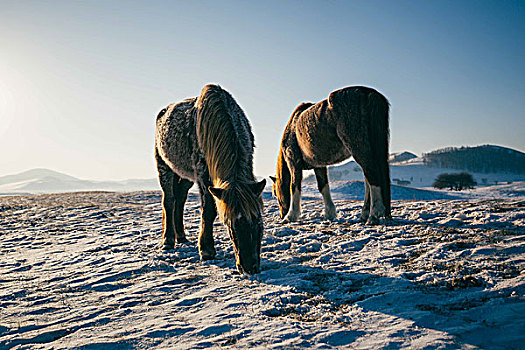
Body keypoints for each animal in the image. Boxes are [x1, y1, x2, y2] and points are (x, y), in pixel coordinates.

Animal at [154, 84, 264, 274]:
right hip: (164, 166)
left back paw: (181, 236)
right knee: (169, 200)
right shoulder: (203, 176)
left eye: (258, 220)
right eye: (230, 225)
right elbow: (209, 211)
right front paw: (206, 250)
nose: (250, 268)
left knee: (180, 199)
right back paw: (168, 241)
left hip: (186, 176)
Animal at [270, 86, 388, 226]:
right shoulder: (318, 166)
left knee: (372, 175)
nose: (282, 216)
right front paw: (329, 214)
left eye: (276, 194)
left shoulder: (294, 164)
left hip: (360, 150)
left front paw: (291, 216)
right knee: (368, 181)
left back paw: (373, 215)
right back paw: (364, 215)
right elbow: (323, 187)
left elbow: (294, 187)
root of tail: (369, 93)